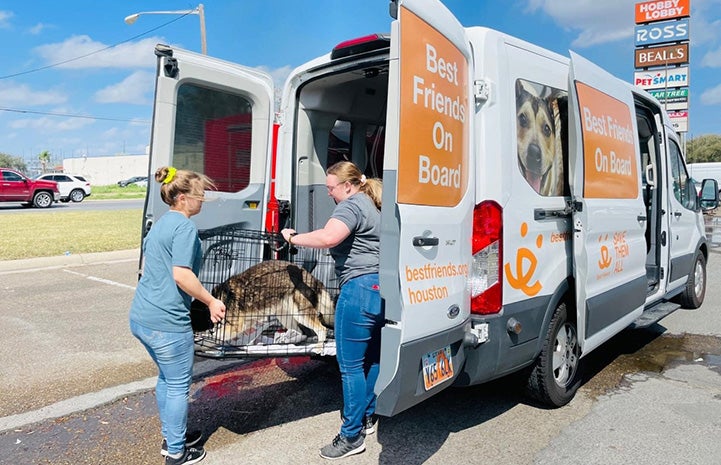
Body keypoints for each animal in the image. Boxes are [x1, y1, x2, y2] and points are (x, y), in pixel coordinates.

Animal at [191, 260, 338, 342]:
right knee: (301, 332)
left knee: (321, 329)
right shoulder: (248, 323)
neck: (216, 300)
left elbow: (216, 334)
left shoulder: (235, 326)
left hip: (300, 312)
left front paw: (205, 336)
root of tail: (311, 277)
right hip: (284, 315)